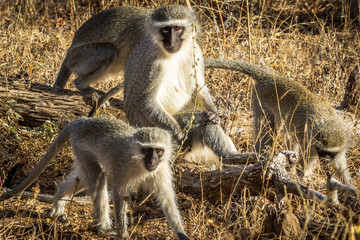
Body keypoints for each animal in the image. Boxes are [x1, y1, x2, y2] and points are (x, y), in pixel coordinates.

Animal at [0, 117, 190, 239]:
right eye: (147, 150)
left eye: (158, 150)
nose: (152, 160)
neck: (140, 162)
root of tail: (80, 121)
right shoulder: (124, 168)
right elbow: (119, 194)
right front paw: (123, 233)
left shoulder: (161, 170)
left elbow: (167, 199)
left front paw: (181, 233)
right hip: (81, 146)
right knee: (98, 178)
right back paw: (104, 228)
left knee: (85, 178)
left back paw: (59, 200)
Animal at [204, 57, 352, 184]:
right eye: (323, 151)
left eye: (330, 153)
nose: (325, 161)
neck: (328, 119)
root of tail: (273, 77)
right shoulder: (310, 144)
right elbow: (304, 164)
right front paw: (302, 181)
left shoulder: (342, 144)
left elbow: (340, 165)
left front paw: (349, 188)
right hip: (260, 99)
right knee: (266, 133)